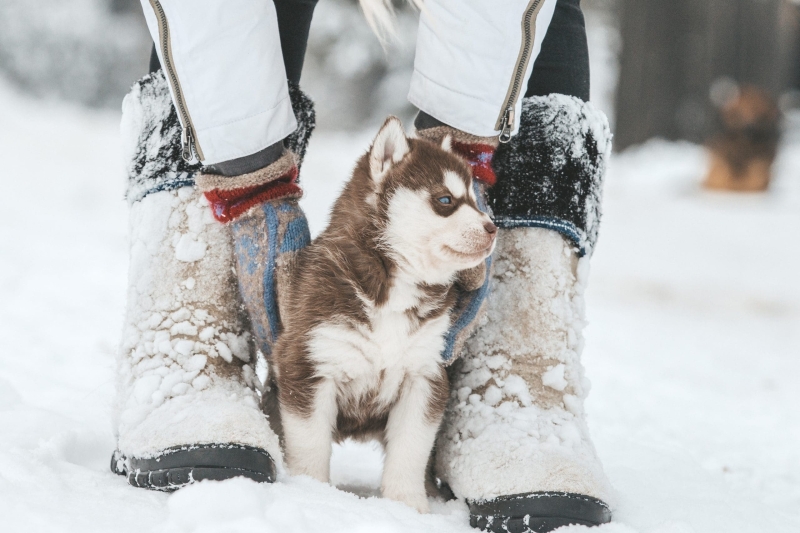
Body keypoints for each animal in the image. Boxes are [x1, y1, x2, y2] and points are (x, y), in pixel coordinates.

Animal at [272, 116, 496, 512]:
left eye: (474, 200)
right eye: (446, 200)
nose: (492, 228)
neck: (394, 284)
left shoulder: (425, 374)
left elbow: (410, 449)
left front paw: (408, 506)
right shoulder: (308, 363)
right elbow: (310, 446)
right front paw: (311, 492)